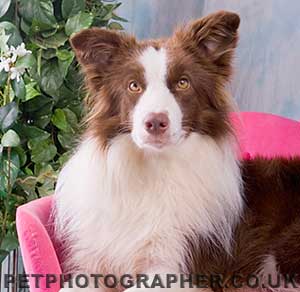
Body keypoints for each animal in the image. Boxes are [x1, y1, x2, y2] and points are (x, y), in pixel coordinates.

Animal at [54, 10, 300, 292]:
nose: (155, 122)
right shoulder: (95, 261)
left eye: (183, 83)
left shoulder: (180, 269)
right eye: (133, 86)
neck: (154, 168)